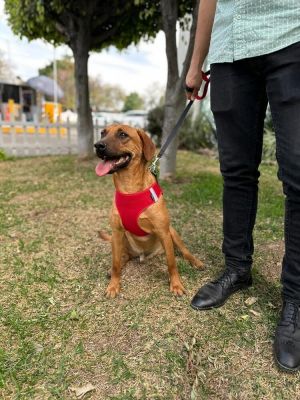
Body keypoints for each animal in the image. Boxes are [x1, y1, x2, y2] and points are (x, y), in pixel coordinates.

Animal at [95, 124, 203, 296]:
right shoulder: (116, 232)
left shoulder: (163, 231)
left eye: (123, 134)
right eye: (102, 133)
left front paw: (176, 284)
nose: (98, 145)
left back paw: (195, 261)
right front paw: (113, 285)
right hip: (120, 239)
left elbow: (171, 263)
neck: (130, 188)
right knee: (124, 257)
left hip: (172, 232)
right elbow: (115, 263)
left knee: (184, 251)